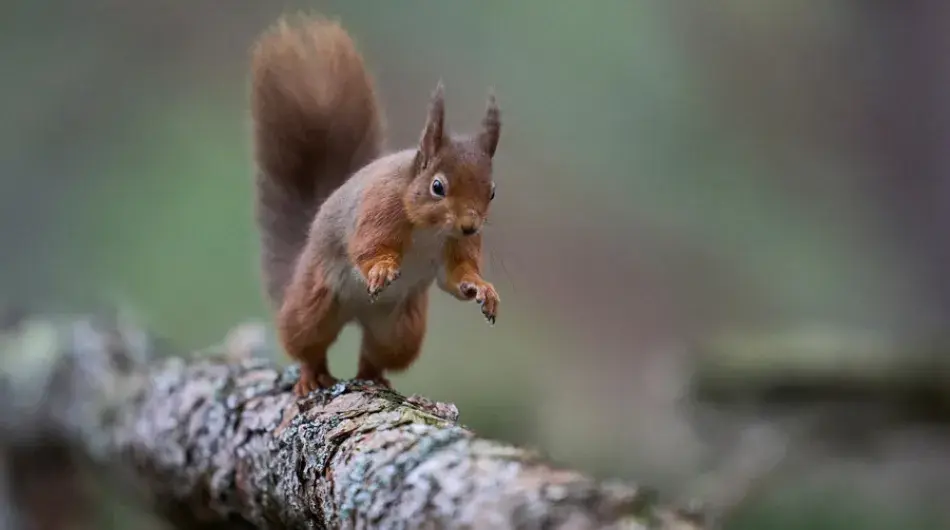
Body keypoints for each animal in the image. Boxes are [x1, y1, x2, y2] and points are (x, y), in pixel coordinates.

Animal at [249, 14, 502, 396]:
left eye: (492, 192)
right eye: (438, 187)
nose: (470, 227)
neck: (430, 229)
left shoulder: (455, 248)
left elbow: (454, 277)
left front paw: (481, 288)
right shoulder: (380, 208)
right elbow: (368, 247)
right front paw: (381, 268)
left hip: (398, 329)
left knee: (374, 355)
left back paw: (373, 378)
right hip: (314, 303)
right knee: (307, 343)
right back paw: (311, 375)